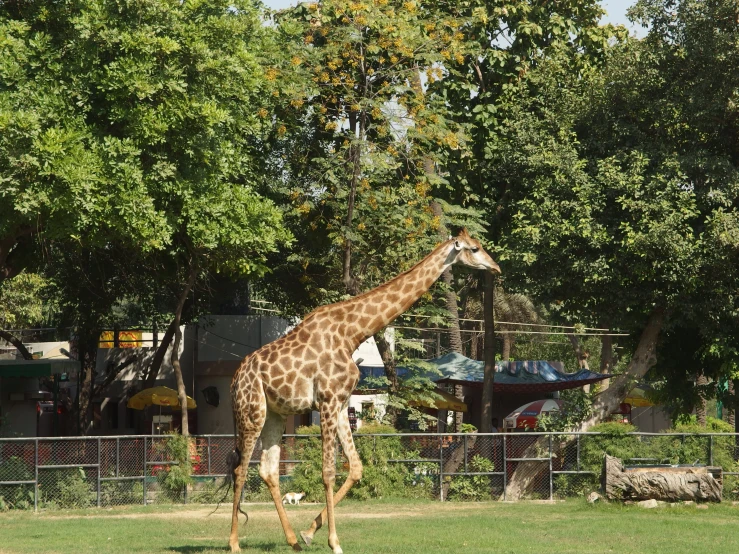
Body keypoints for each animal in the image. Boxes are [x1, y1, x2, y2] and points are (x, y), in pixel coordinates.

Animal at [228, 226, 500, 548]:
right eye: (475, 248)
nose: (496, 267)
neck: (352, 333)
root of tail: (235, 379)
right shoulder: (328, 400)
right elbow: (328, 471)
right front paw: (334, 542)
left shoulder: (341, 402)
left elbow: (356, 468)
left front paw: (309, 533)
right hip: (252, 411)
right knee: (240, 469)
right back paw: (234, 543)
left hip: (276, 414)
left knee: (267, 470)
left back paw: (293, 540)